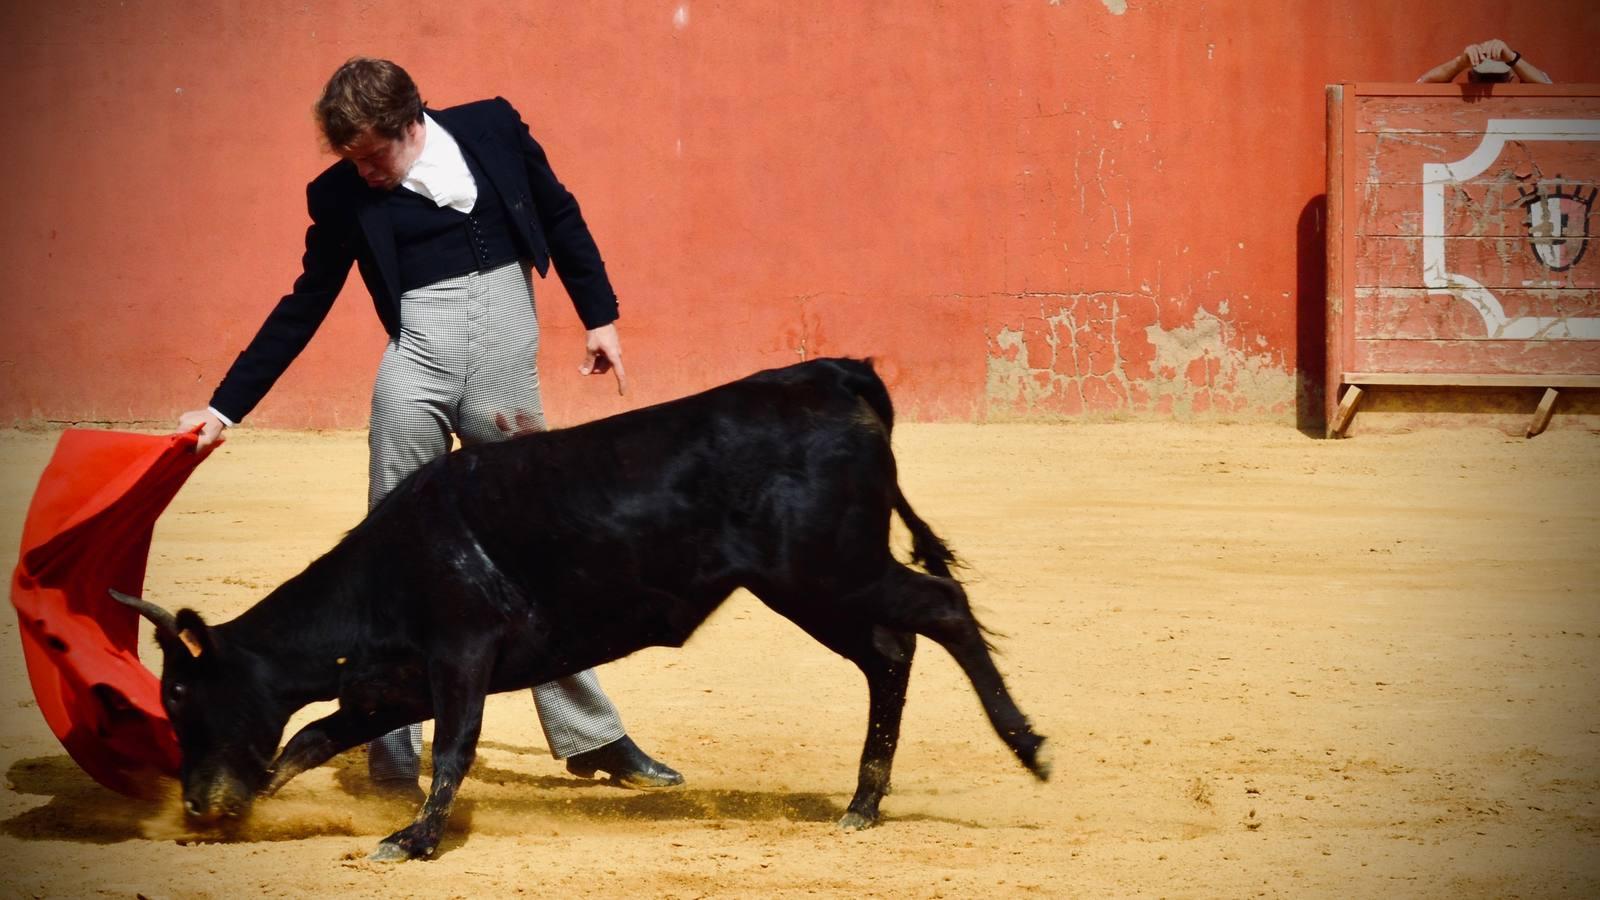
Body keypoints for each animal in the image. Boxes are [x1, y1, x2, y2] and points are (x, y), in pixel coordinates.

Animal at [116, 355, 1049, 851]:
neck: (389, 564)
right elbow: (309, 739)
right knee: (891, 653)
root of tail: (831, 374)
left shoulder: (462, 654)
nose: (194, 803)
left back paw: (1026, 747)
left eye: (183, 696)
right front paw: (255, 805)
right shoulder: (392, 685)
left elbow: (452, 748)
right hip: (815, 587)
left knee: (943, 605)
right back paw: (862, 804)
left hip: (826, 572)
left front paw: (413, 840)